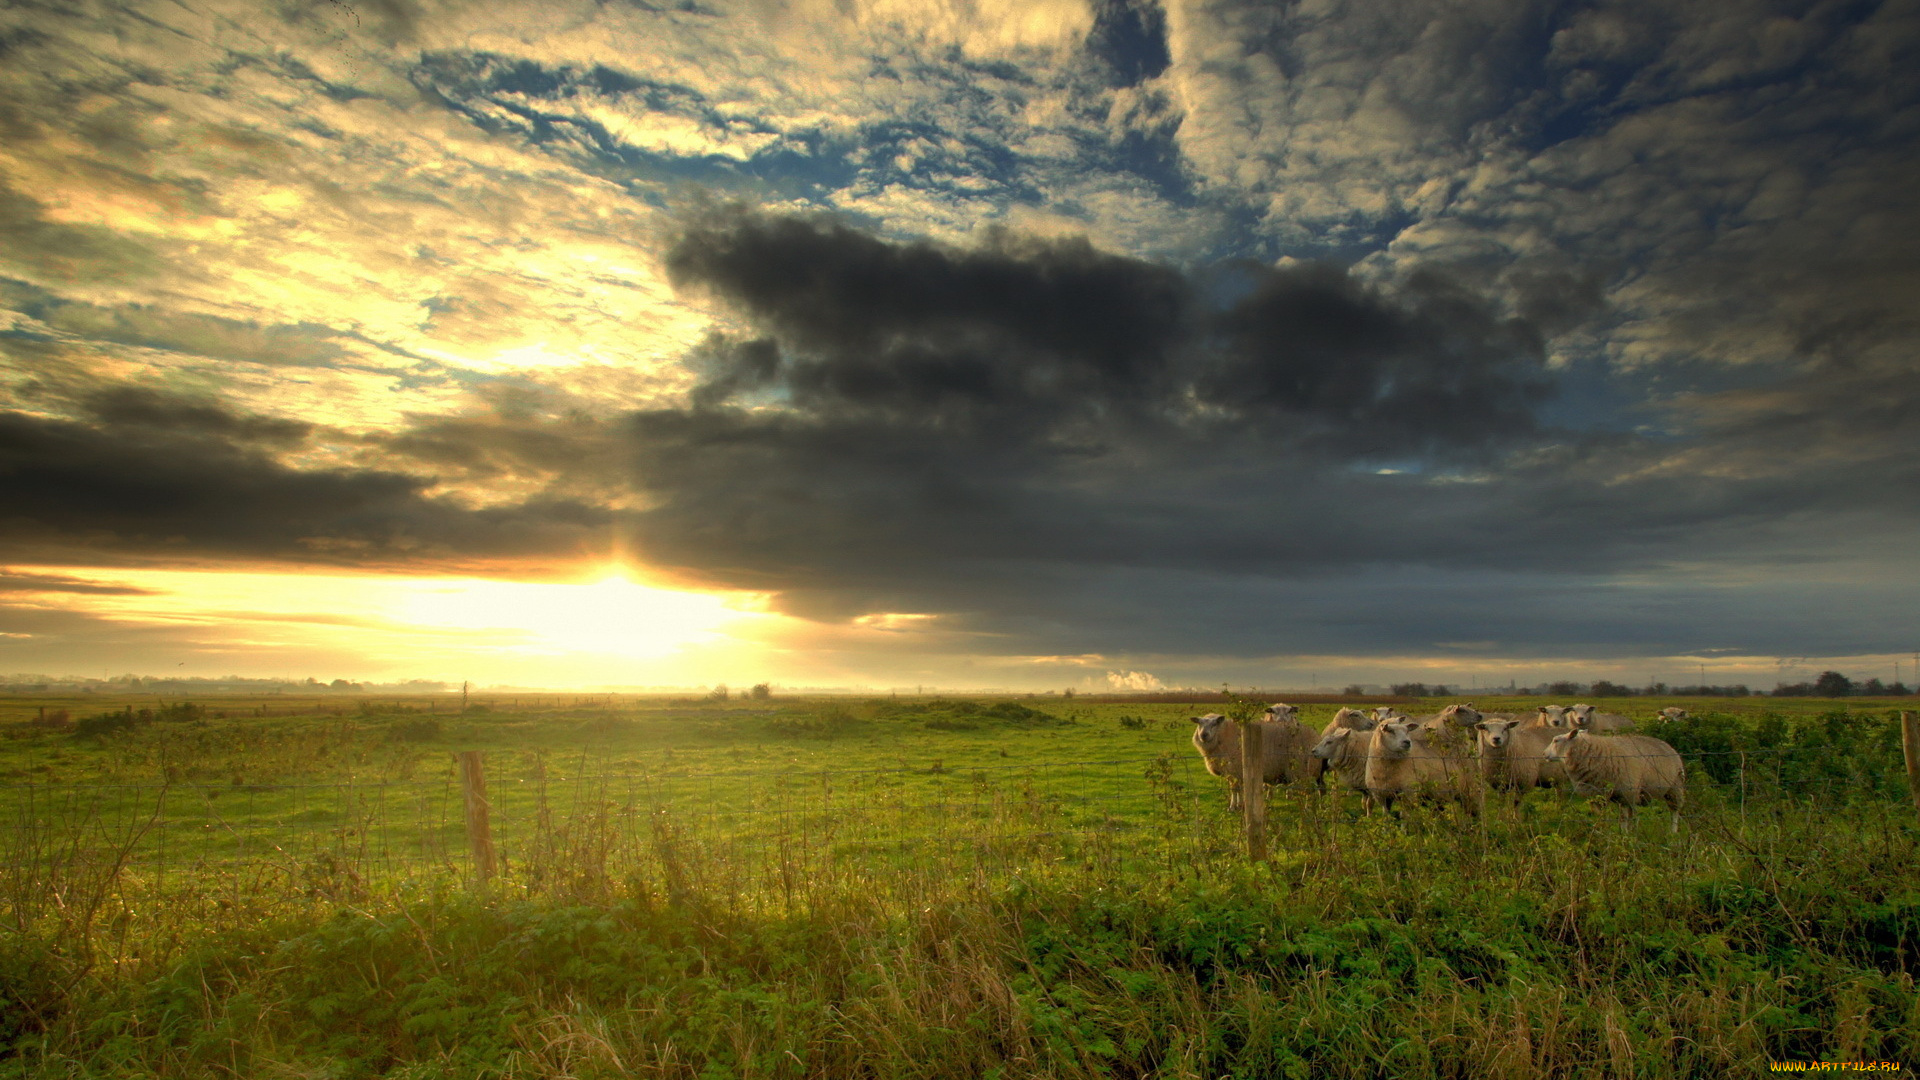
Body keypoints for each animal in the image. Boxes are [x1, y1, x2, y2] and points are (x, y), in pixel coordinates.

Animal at [1182, 711, 1320, 803]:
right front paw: (1237, 805)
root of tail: (1315, 738)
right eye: (1199, 724)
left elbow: (1236, 789)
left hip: (1302, 769)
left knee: (1310, 791)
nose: (1203, 735)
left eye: (1215, 724)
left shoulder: (1235, 770)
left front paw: (1235, 806)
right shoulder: (1232, 773)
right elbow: (1237, 790)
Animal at [1536, 722, 1689, 834]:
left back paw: (1673, 832)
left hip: (1675, 787)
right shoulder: (1597, 794)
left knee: (1674, 811)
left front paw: (1624, 835)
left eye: (1556, 740)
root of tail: (1668, 746)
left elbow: (1623, 818)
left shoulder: (1626, 792)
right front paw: (1601, 831)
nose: (1543, 754)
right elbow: (1601, 816)